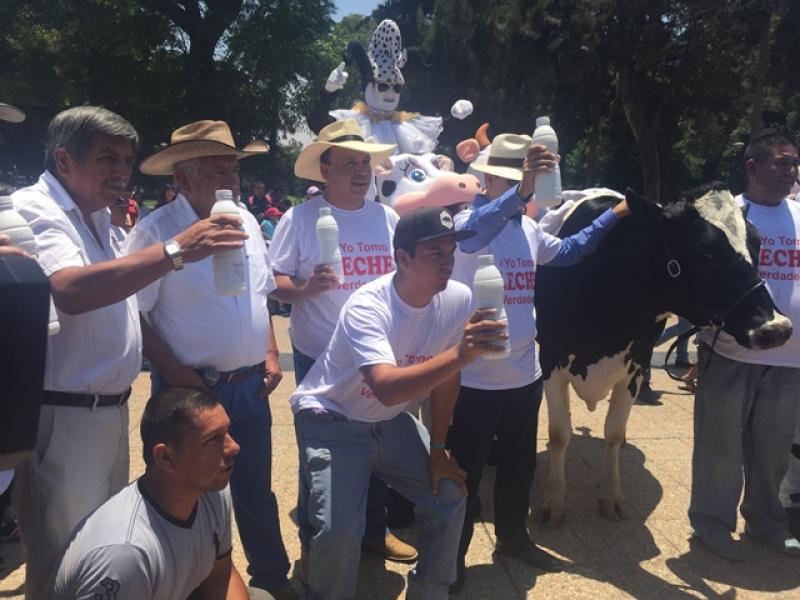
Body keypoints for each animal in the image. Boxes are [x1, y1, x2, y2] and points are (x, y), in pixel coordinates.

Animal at [536, 182, 792, 524]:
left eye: (758, 244)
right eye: (705, 250)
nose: (776, 328)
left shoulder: (636, 364)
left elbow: (613, 432)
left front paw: (611, 496)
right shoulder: (550, 359)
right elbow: (558, 433)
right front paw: (552, 500)